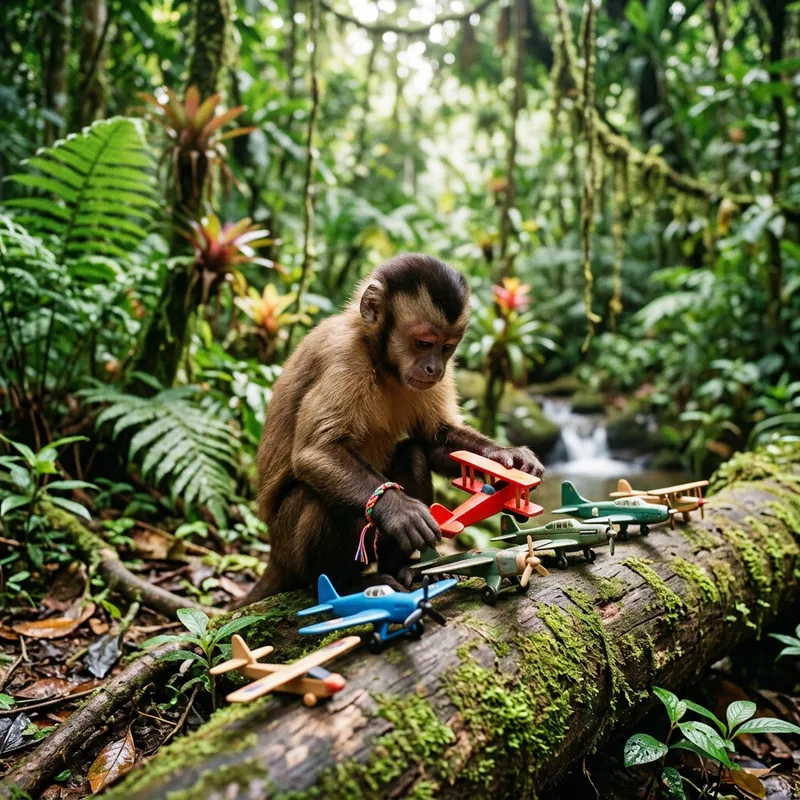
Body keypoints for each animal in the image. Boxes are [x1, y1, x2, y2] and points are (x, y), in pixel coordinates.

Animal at [241, 253, 544, 604]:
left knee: (413, 454)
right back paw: (342, 585)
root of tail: (274, 555)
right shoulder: (344, 358)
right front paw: (399, 509)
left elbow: (434, 440)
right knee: (319, 498)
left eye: (447, 348)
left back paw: (401, 567)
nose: (435, 368)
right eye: (424, 343)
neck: (381, 361)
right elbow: (316, 452)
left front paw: (507, 458)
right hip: (289, 547)